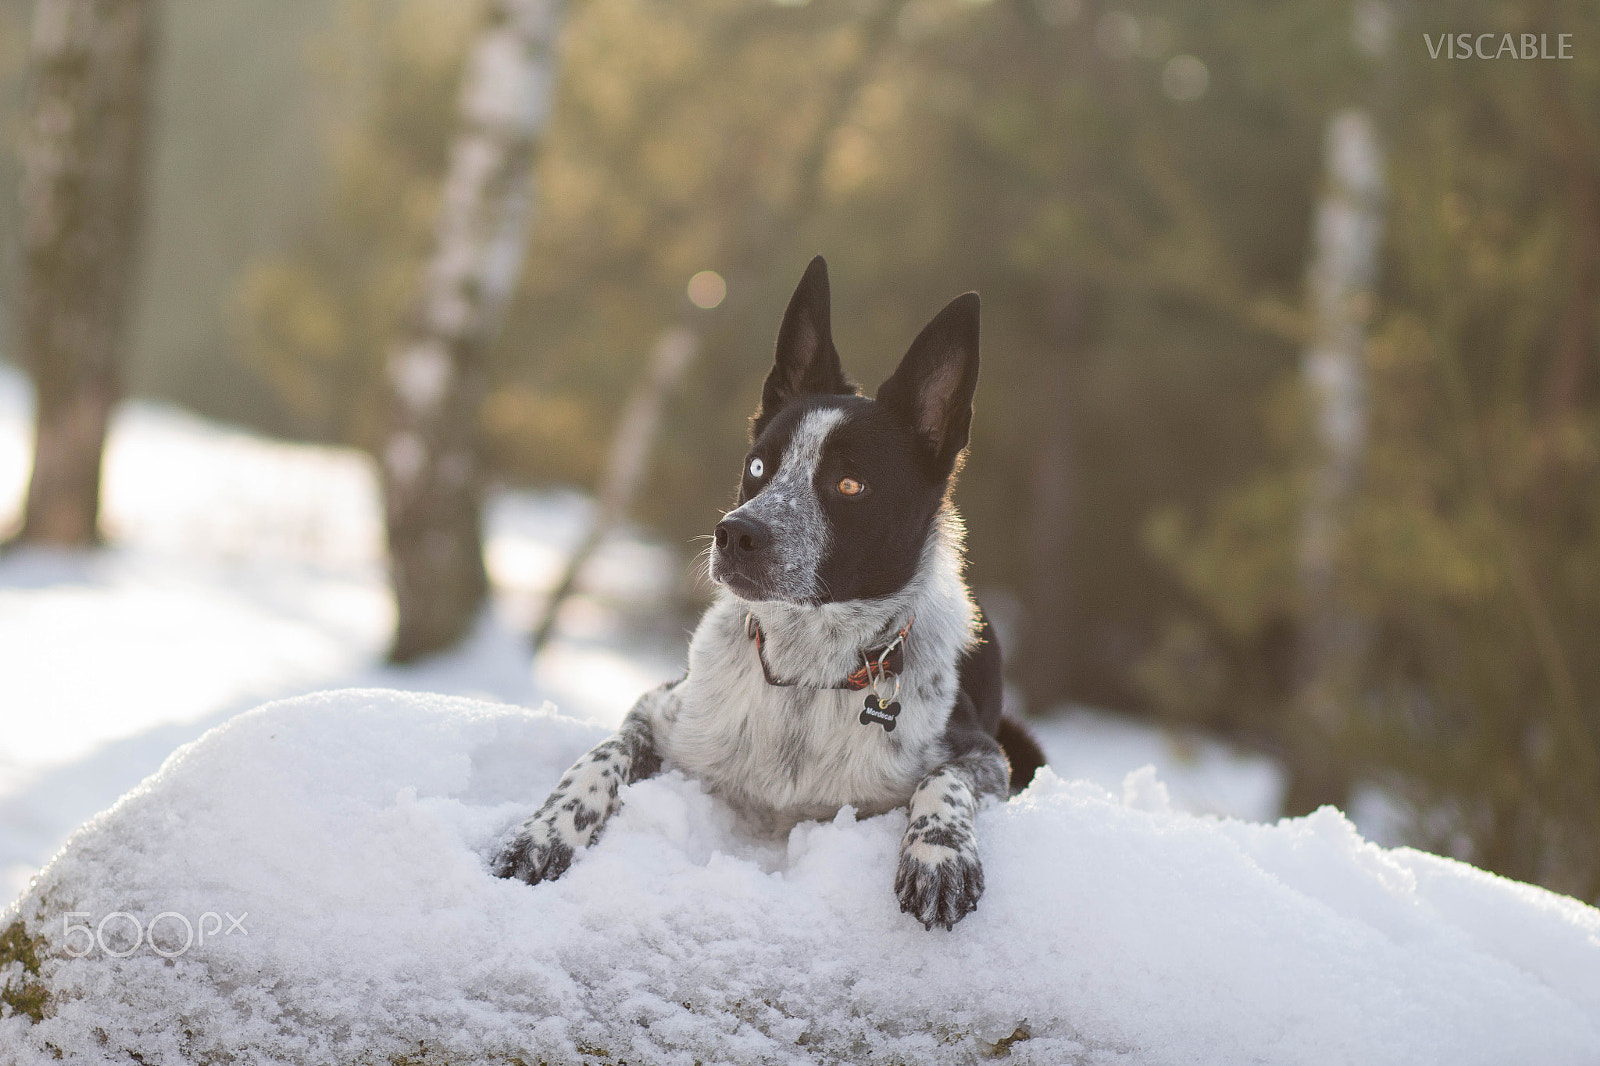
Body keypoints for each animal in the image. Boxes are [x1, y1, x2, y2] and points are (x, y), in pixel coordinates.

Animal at [492, 252, 1043, 928]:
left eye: (851, 484)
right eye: (758, 466)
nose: (735, 534)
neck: (804, 676)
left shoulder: (985, 755)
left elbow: (945, 781)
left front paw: (939, 855)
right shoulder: (658, 713)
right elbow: (598, 755)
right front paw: (542, 832)